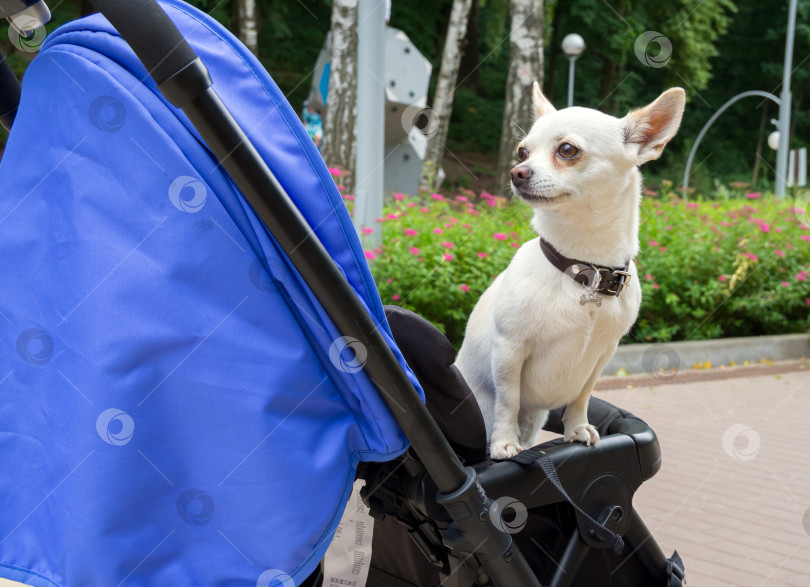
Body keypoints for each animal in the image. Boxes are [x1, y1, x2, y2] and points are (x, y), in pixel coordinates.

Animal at [454, 84, 680, 460]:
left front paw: (575, 429)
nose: (517, 172)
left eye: (567, 150)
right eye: (522, 151)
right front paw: (504, 442)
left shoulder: (603, 354)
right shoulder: (509, 349)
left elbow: (582, 396)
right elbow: (508, 400)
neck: (583, 269)